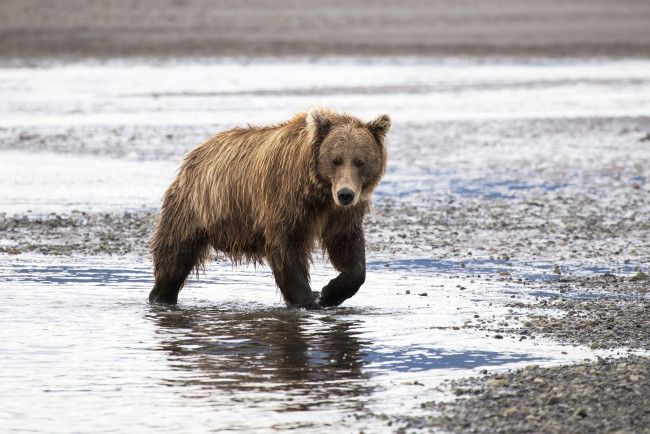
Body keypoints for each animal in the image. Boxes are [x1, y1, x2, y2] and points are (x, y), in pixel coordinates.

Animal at [148, 108, 390, 308]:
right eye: (336, 160)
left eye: (360, 161)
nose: (345, 194)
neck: (318, 192)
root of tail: (195, 153)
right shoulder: (285, 198)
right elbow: (286, 249)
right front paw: (308, 301)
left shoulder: (340, 214)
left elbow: (348, 250)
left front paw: (329, 293)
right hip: (193, 206)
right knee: (174, 255)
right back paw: (160, 296)